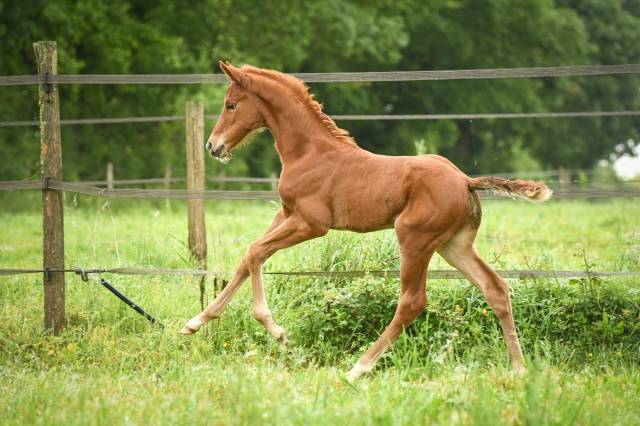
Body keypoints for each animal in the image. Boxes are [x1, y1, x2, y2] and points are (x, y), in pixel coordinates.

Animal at [180, 61, 552, 381]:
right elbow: (247, 257)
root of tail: (465, 181)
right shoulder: (285, 214)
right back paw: (518, 368)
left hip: (414, 239)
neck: (310, 153)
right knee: (495, 288)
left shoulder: (311, 223)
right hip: (454, 245)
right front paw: (194, 322)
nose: (213, 146)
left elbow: (256, 253)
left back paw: (358, 368)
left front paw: (277, 331)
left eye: (230, 104)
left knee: (412, 302)